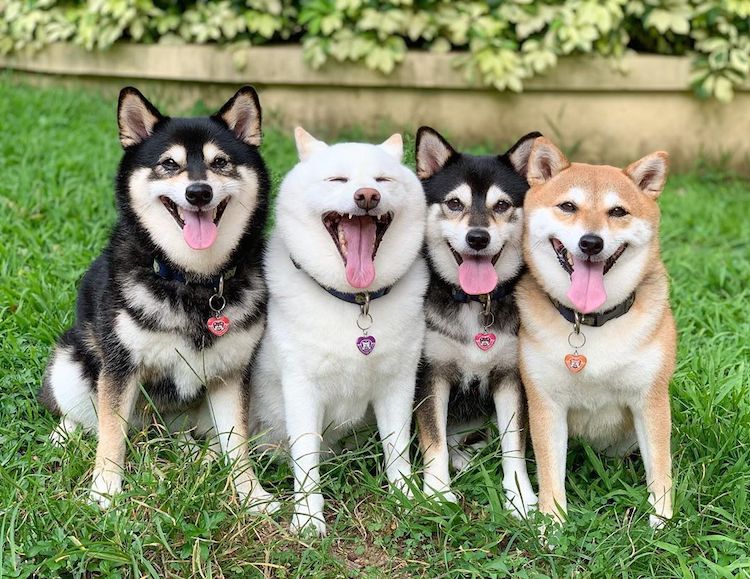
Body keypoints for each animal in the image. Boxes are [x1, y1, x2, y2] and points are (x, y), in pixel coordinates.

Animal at [39, 86, 280, 512]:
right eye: (169, 164)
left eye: (220, 163)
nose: (198, 192)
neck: (194, 280)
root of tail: (151, 432)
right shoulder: (121, 368)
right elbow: (110, 433)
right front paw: (105, 489)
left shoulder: (232, 373)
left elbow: (237, 443)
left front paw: (251, 493)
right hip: (70, 361)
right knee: (84, 416)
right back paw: (63, 436)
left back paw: (197, 454)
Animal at [250, 127, 428, 536]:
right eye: (338, 180)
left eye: (383, 180)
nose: (367, 196)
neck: (355, 301)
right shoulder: (301, 387)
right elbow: (306, 458)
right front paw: (308, 517)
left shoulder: (398, 383)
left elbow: (397, 449)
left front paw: (405, 498)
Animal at [520, 138, 680, 528]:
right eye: (568, 206)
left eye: (618, 212)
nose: (591, 242)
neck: (590, 320)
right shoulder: (546, 402)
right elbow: (550, 471)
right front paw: (552, 524)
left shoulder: (650, 398)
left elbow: (660, 464)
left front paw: (662, 521)